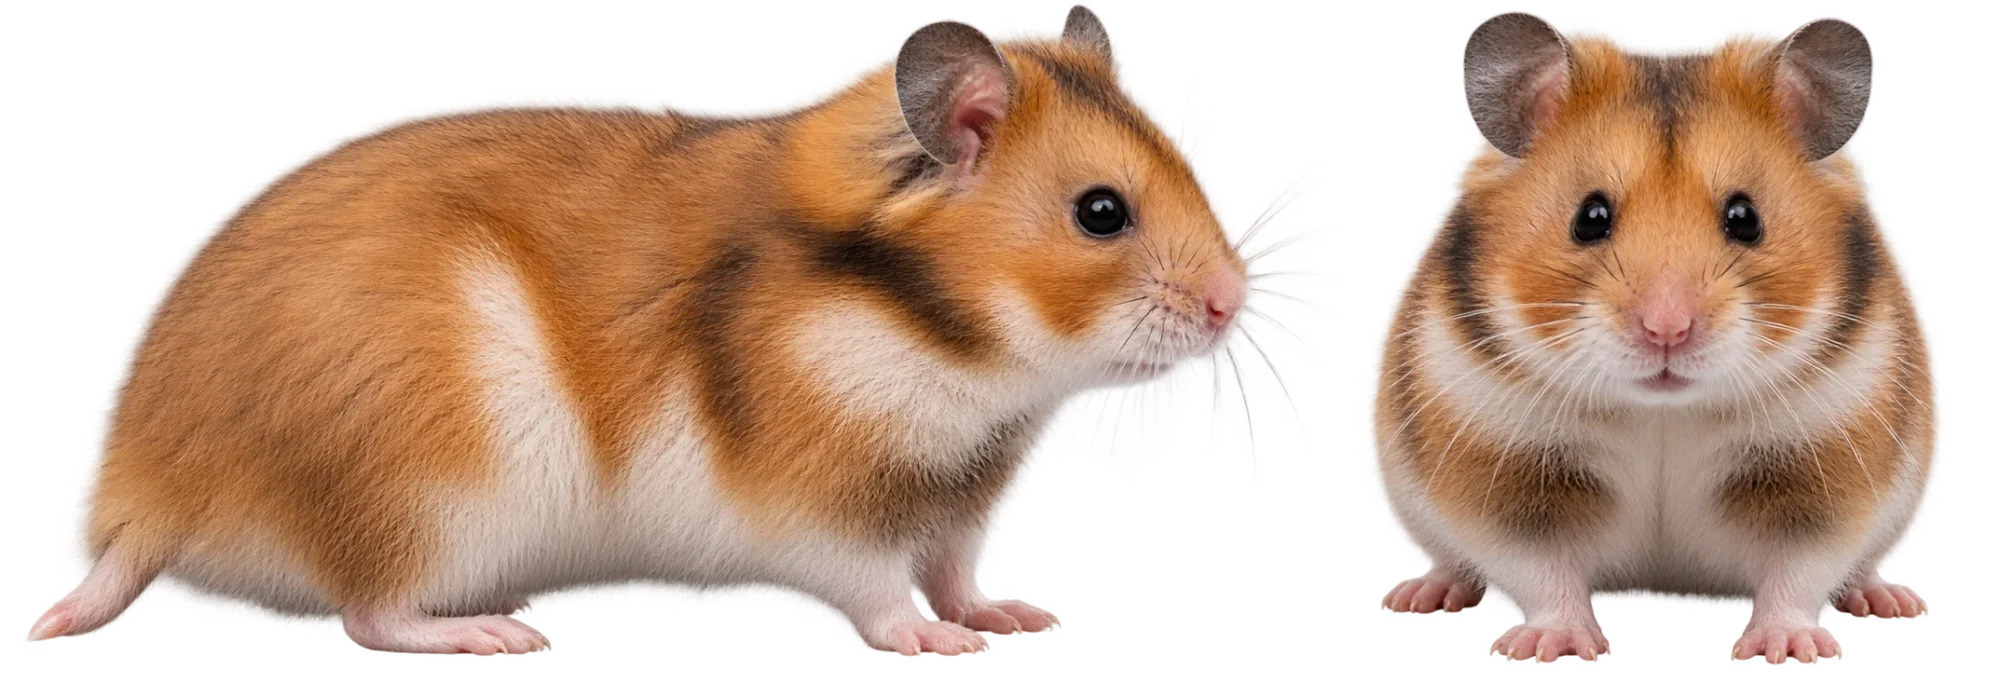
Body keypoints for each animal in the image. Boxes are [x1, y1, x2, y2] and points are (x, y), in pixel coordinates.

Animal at [25, 6, 1256, 659]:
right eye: (1100, 212)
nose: (1231, 299)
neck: (955, 345)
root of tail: (136, 496)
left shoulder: (958, 510)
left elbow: (956, 570)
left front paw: (1024, 613)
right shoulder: (824, 515)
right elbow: (883, 595)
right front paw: (943, 645)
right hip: (429, 490)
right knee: (370, 609)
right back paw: (500, 633)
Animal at [1364, 13, 1943, 668]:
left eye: (1745, 218)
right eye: (1590, 217)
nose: (1667, 329)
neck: (1663, 410)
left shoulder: (1823, 469)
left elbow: (1800, 568)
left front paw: (1785, 648)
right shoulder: (1506, 473)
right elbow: (1538, 568)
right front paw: (1558, 647)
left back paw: (1893, 601)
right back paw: (1420, 595)